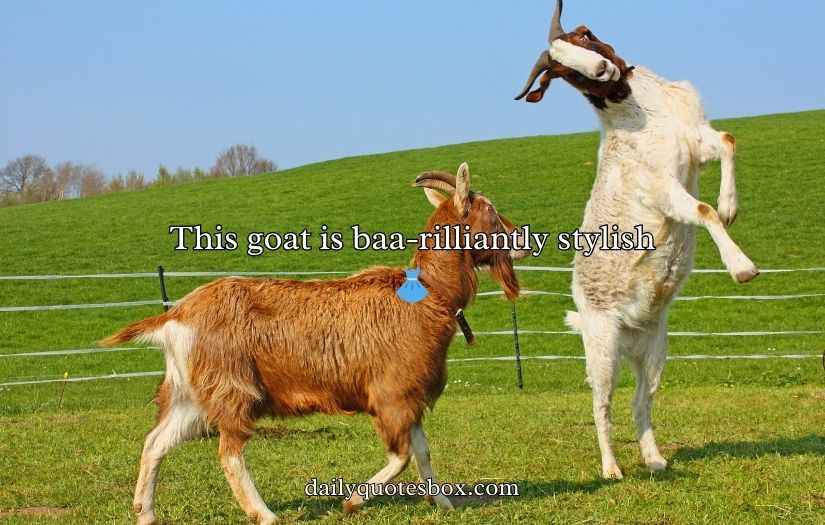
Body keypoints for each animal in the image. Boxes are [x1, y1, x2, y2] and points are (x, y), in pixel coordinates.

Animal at [100, 163, 523, 525]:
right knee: (229, 453)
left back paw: (145, 512)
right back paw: (264, 514)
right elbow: (401, 456)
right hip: (231, 386)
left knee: (155, 442)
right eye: (489, 210)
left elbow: (422, 451)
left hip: (190, 392)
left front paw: (445, 502)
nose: (523, 241)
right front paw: (352, 501)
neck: (428, 296)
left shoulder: (411, 395)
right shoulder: (391, 394)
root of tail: (178, 315)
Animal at [515, 1, 759, 479]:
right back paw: (611, 468)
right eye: (561, 71)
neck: (640, 109)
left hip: (655, 346)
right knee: (602, 404)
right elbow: (700, 212)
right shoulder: (660, 187)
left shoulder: (694, 140)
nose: (602, 69)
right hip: (602, 347)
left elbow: (727, 141)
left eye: (582, 36)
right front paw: (742, 267)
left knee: (640, 400)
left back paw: (655, 459)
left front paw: (730, 206)